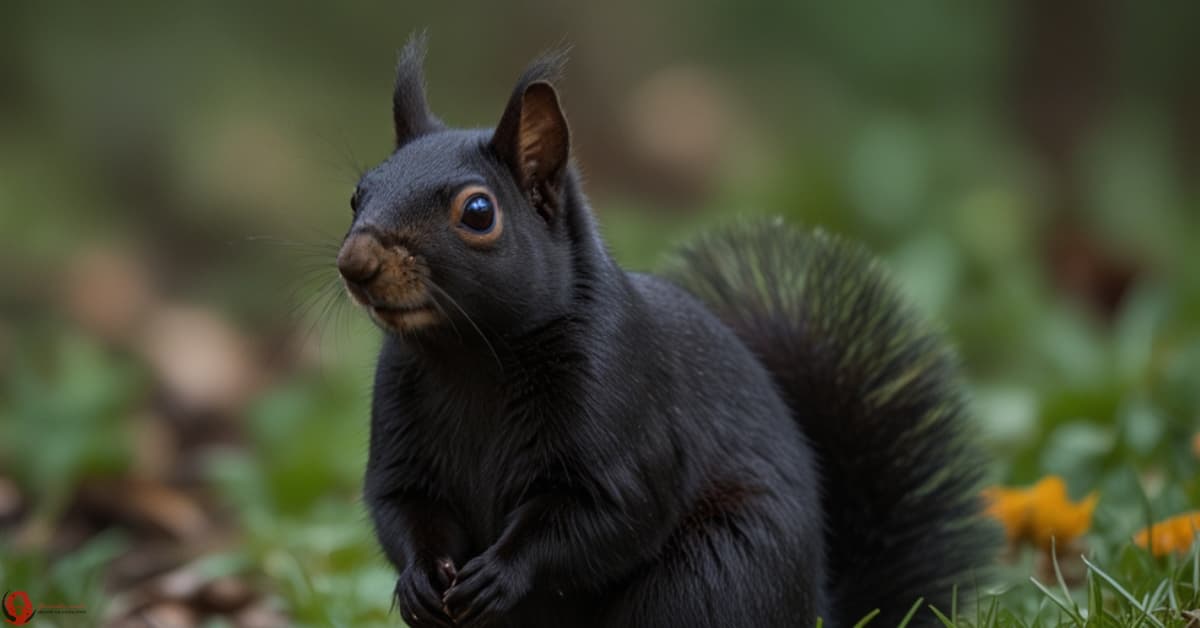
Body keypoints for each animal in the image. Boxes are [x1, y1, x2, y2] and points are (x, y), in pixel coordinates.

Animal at [338, 35, 993, 628]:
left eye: (478, 212)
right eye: (357, 194)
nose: (355, 262)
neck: (473, 354)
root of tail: (818, 611)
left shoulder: (622, 413)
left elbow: (606, 517)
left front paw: (499, 574)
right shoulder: (398, 424)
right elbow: (401, 505)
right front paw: (420, 578)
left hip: (710, 575)